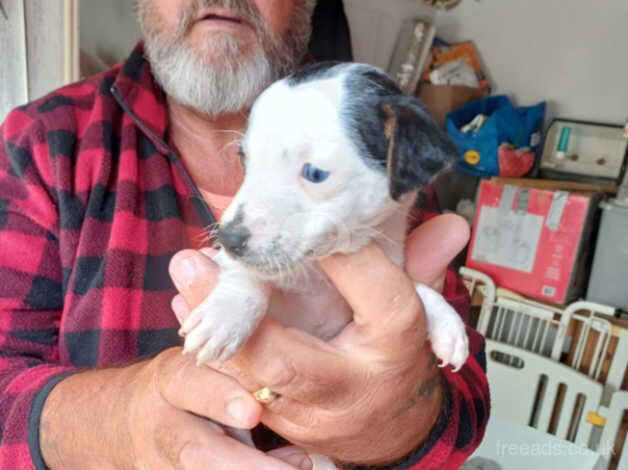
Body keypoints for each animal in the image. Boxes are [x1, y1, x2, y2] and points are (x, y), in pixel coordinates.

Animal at [179, 61, 468, 370]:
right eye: (244, 160)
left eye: (315, 174)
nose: (228, 239)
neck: (316, 277)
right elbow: (246, 274)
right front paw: (226, 313)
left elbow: (416, 290)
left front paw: (448, 324)